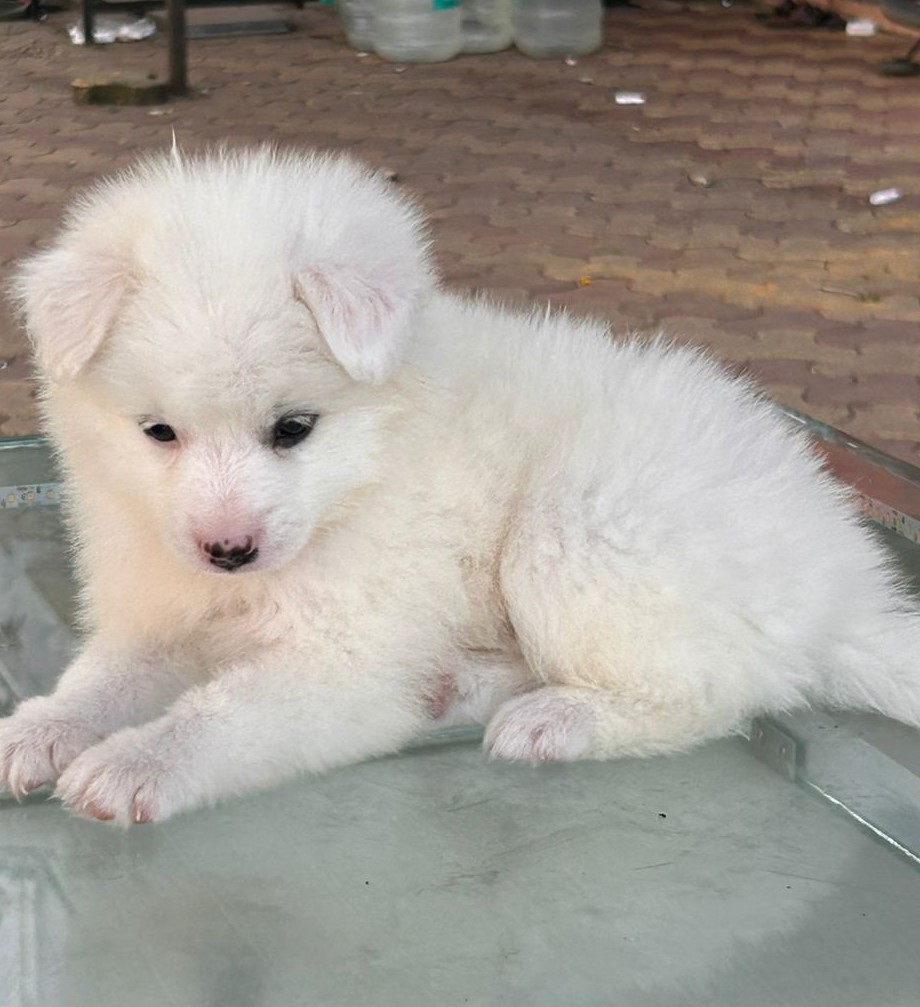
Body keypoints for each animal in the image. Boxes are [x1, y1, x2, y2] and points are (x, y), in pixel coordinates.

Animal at [5, 147, 917, 825]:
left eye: (293, 427)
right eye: (158, 432)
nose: (227, 550)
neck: (366, 474)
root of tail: (843, 595)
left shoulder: (349, 661)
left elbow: (221, 715)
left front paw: (134, 760)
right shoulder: (159, 614)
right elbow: (100, 678)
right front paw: (40, 728)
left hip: (579, 530)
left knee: (712, 693)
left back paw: (555, 718)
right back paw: (463, 685)